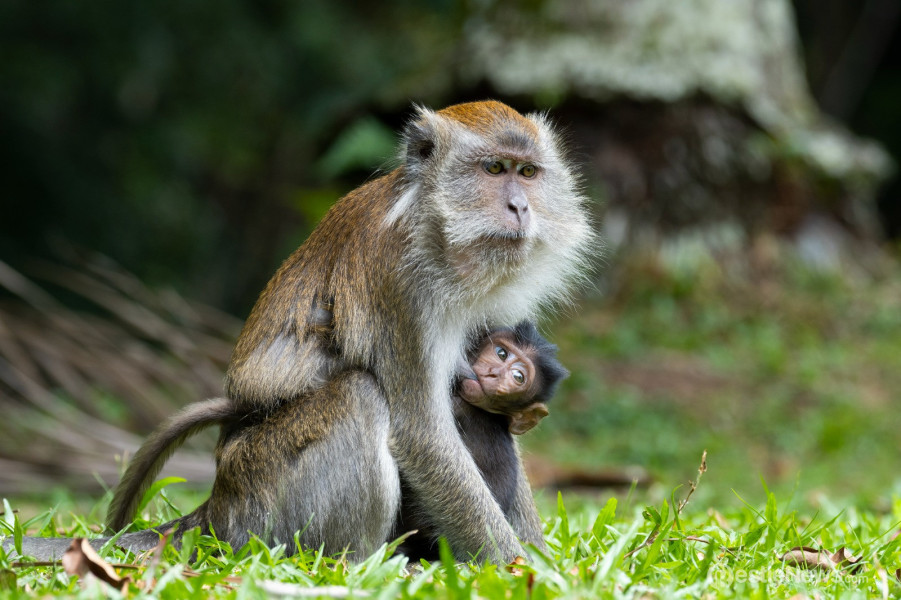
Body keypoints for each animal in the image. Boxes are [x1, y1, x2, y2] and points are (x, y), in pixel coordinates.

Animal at [10, 99, 596, 564]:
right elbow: (424, 437)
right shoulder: (398, 284)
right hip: (261, 505)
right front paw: (525, 572)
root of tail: (215, 507)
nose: (520, 205)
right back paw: (357, 566)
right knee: (359, 395)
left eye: (529, 173)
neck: (434, 228)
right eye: (495, 169)